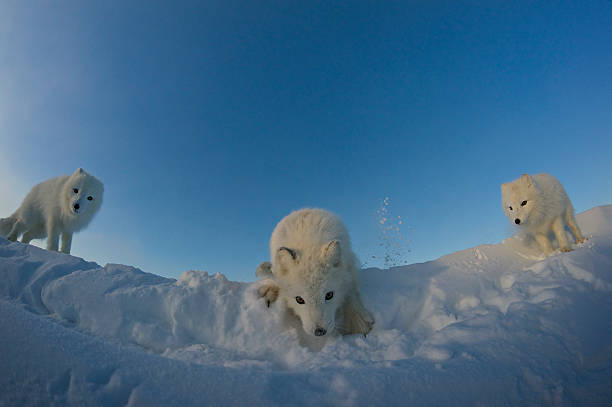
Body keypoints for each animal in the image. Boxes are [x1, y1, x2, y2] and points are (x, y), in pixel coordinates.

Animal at [256, 209, 372, 340]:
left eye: (329, 295)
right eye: (299, 299)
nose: (319, 332)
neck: (307, 245)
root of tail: (304, 209)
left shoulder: (348, 265)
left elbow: (351, 293)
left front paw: (358, 325)